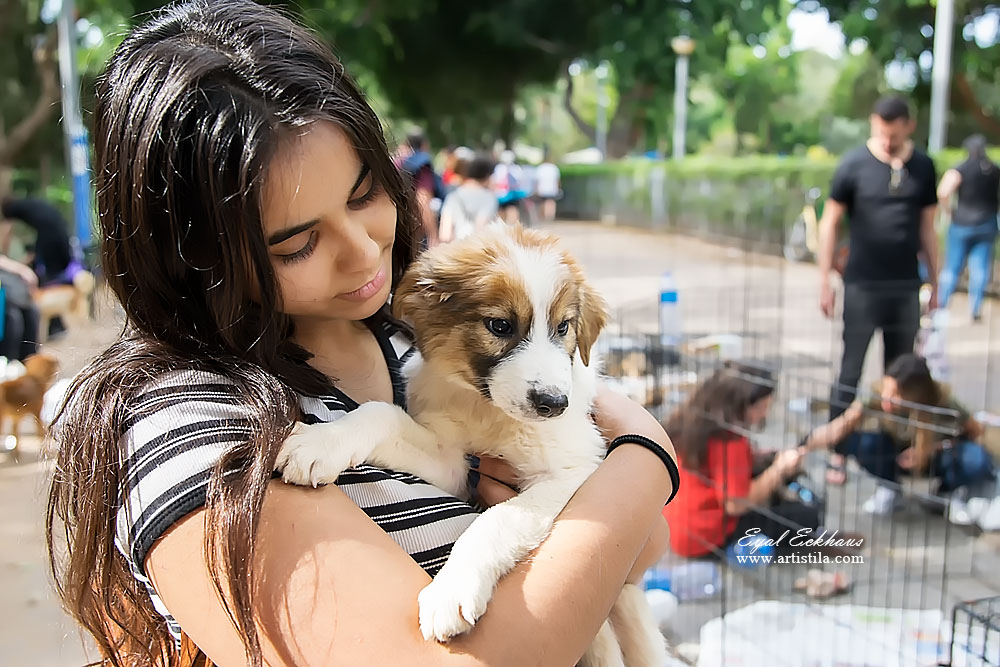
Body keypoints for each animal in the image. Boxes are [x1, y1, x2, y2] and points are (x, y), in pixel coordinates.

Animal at [278, 226, 668, 667]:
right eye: (499, 325)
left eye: (564, 327)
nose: (554, 404)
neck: (489, 412)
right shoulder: (452, 463)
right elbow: (379, 413)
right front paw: (321, 442)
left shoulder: (574, 470)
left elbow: (497, 518)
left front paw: (451, 591)